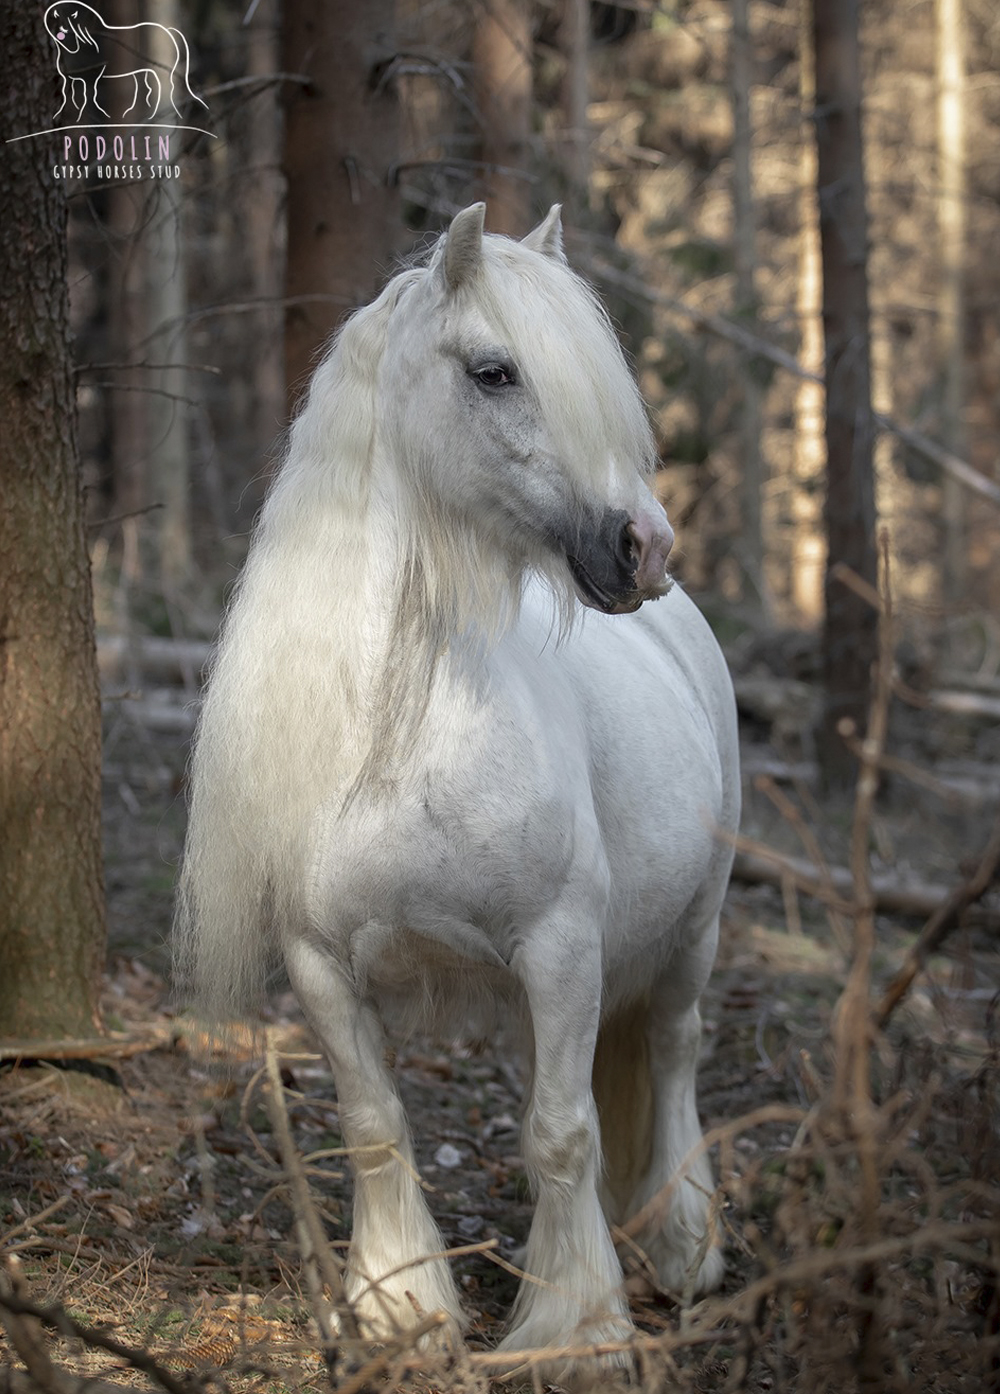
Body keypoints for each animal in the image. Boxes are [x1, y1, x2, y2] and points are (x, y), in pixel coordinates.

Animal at [175, 203, 736, 1371]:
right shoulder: (321, 965)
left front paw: (575, 1331)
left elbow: (563, 1132)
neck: (407, 732)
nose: (644, 544)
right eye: (493, 370)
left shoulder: (560, 946)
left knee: (671, 1053)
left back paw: (683, 1247)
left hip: (692, 929)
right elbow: (378, 1125)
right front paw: (401, 1310)